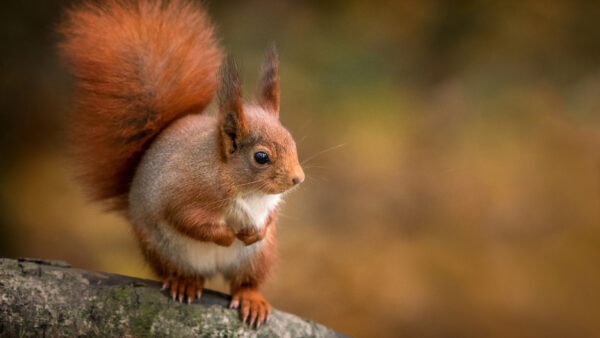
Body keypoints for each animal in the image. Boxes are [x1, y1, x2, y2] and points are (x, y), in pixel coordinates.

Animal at [58, 0, 304, 328]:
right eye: (261, 157)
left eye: (293, 141)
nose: (298, 179)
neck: (242, 186)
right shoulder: (181, 192)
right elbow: (186, 219)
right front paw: (228, 235)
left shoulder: (270, 204)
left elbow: (269, 217)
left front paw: (255, 231)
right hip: (164, 251)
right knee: (185, 271)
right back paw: (184, 283)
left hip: (258, 258)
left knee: (245, 282)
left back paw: (251, 299)